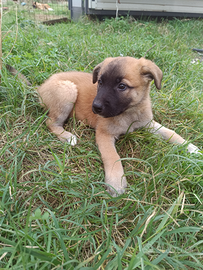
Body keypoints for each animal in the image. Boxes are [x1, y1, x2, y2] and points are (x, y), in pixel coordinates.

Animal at [36, 57, 200, 196]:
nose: (95, 107)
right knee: (50, 122)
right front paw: (116, 182)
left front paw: (190, 147)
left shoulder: (148, 124)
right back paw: (67, 136)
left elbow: (170, 132)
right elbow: (113, 156)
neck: (129, 113)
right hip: (68, 90)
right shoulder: (104, 134)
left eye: (122, 86)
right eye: (100, 82)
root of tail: (41, 86)